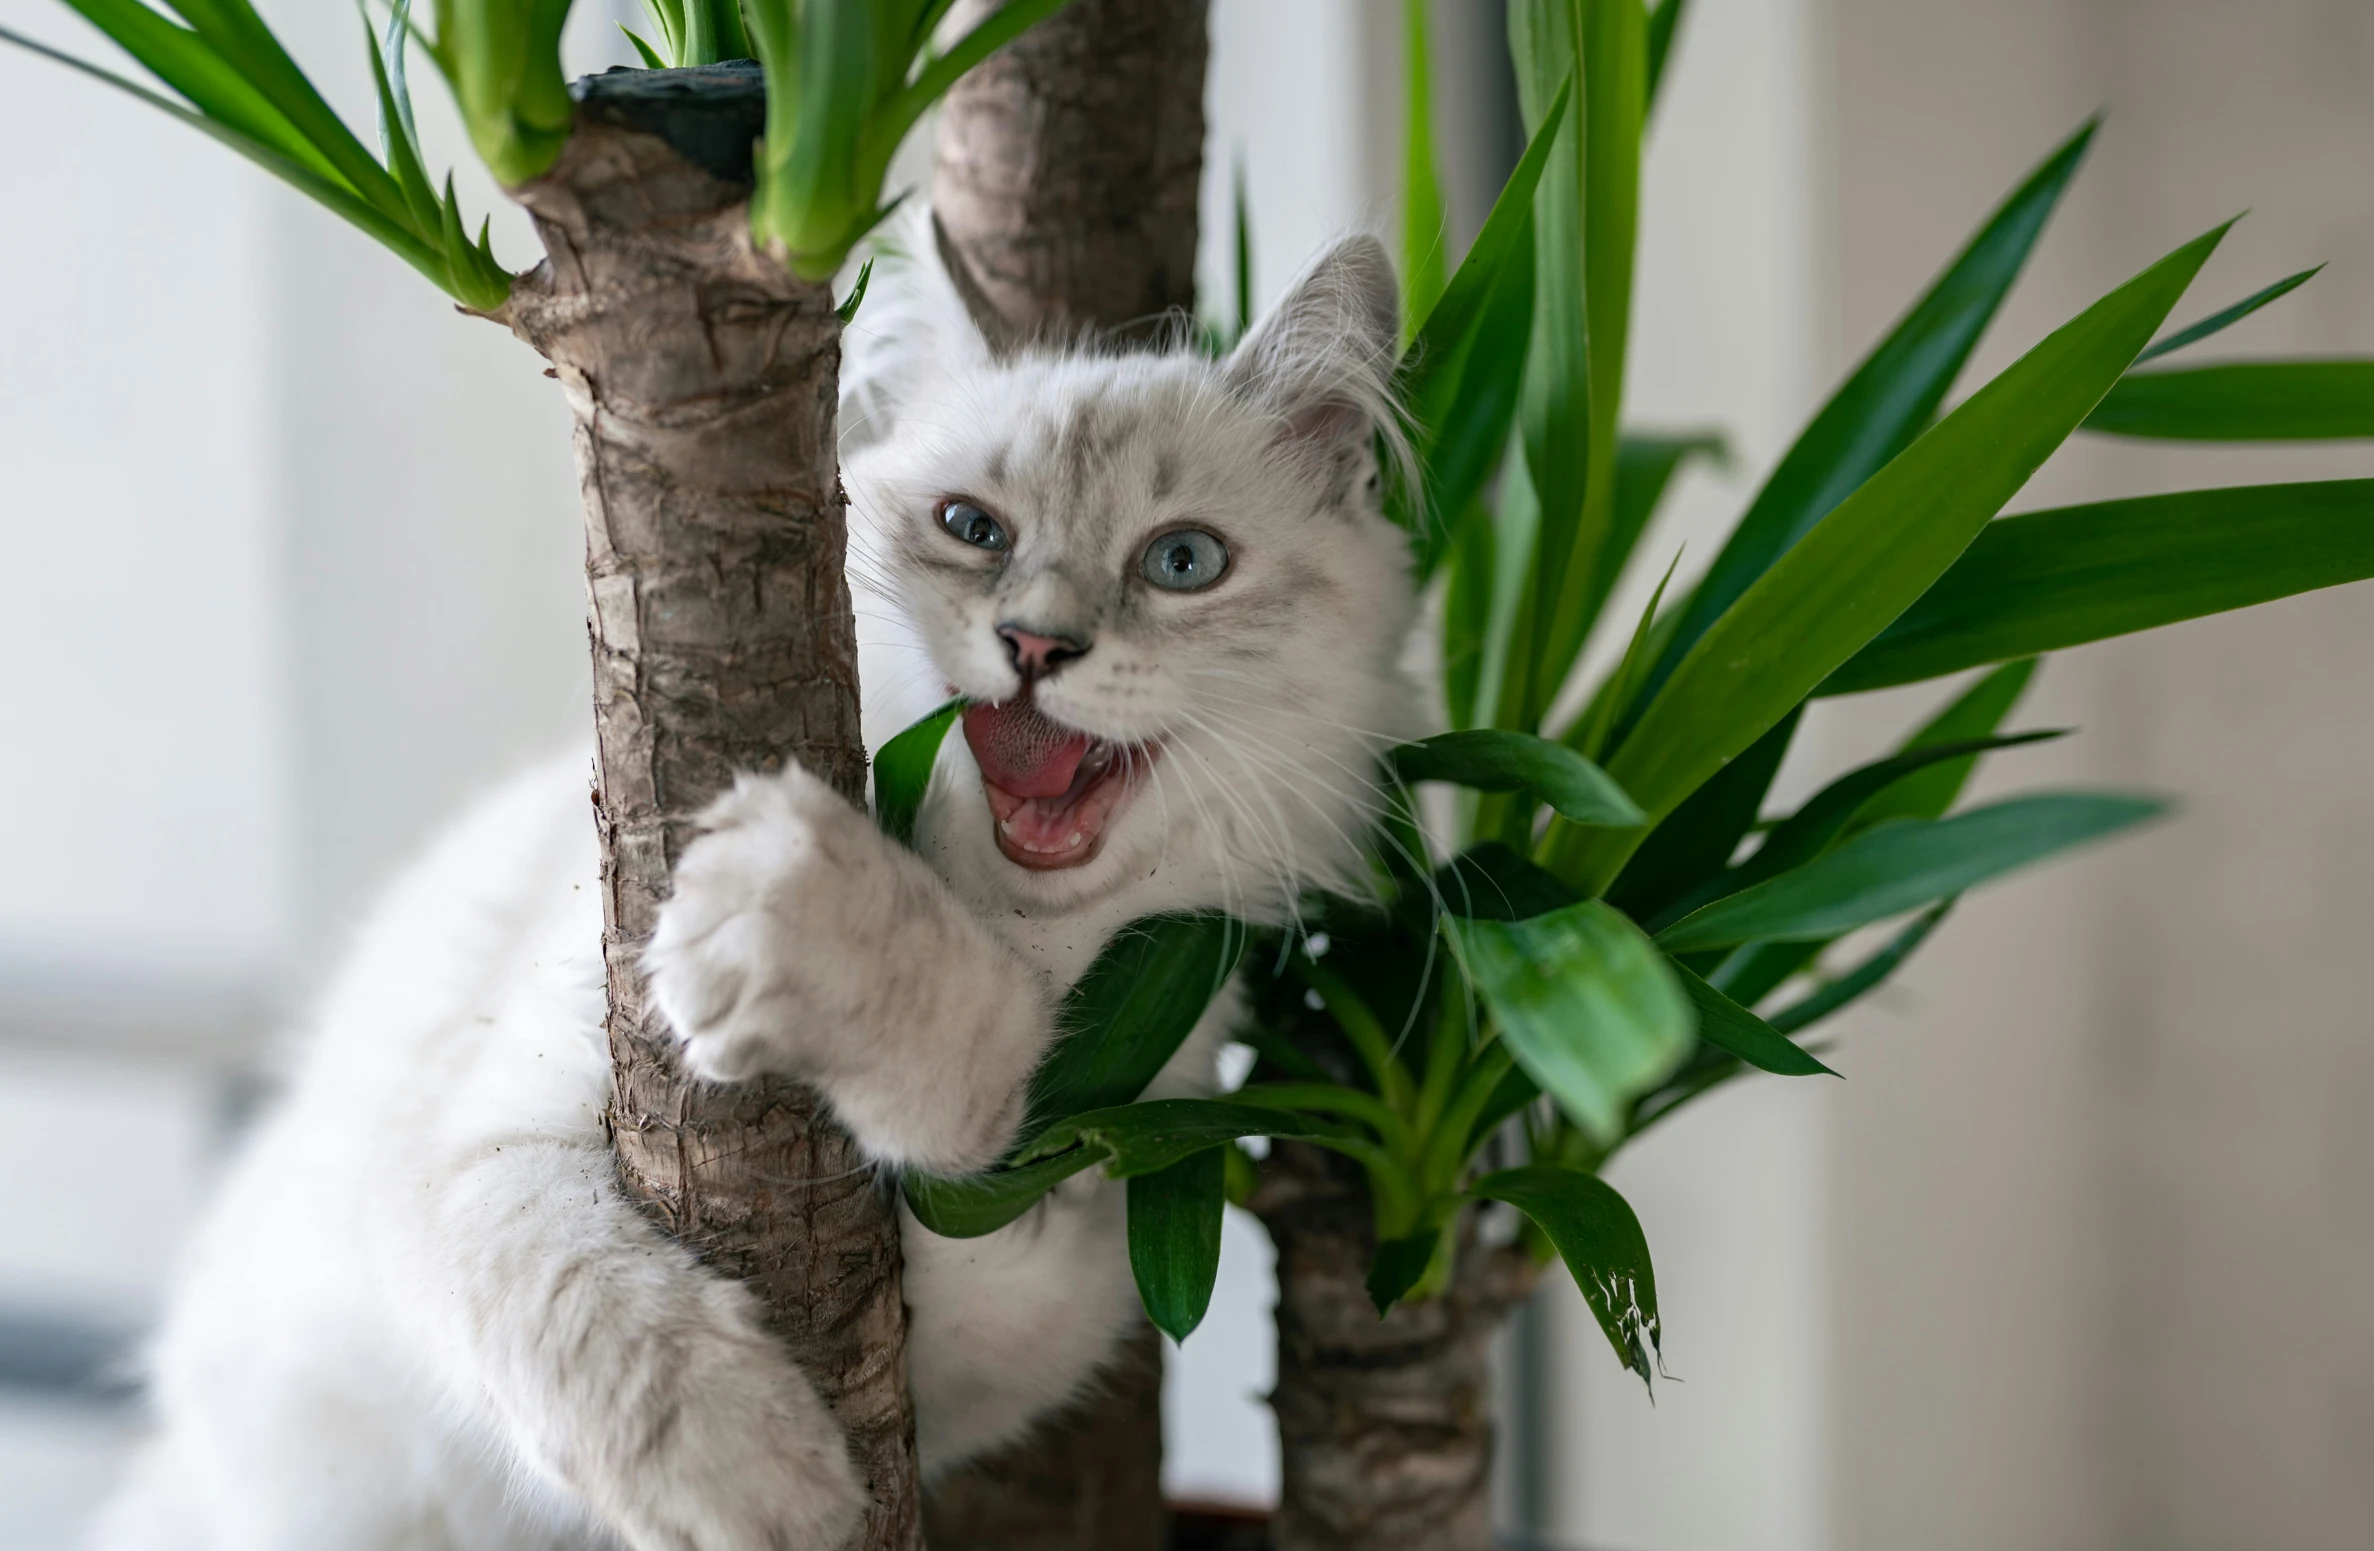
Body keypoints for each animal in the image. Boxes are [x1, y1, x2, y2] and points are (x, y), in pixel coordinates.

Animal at [97, 232, 1405, 1548]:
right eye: (972, 528)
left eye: (1183, 563)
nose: (1037, 646)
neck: (1006, 927)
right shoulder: (469, 1149)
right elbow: (589, 1308)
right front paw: (764, 1491)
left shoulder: (1060, 1233)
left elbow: (976, 1078)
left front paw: (811, 924)